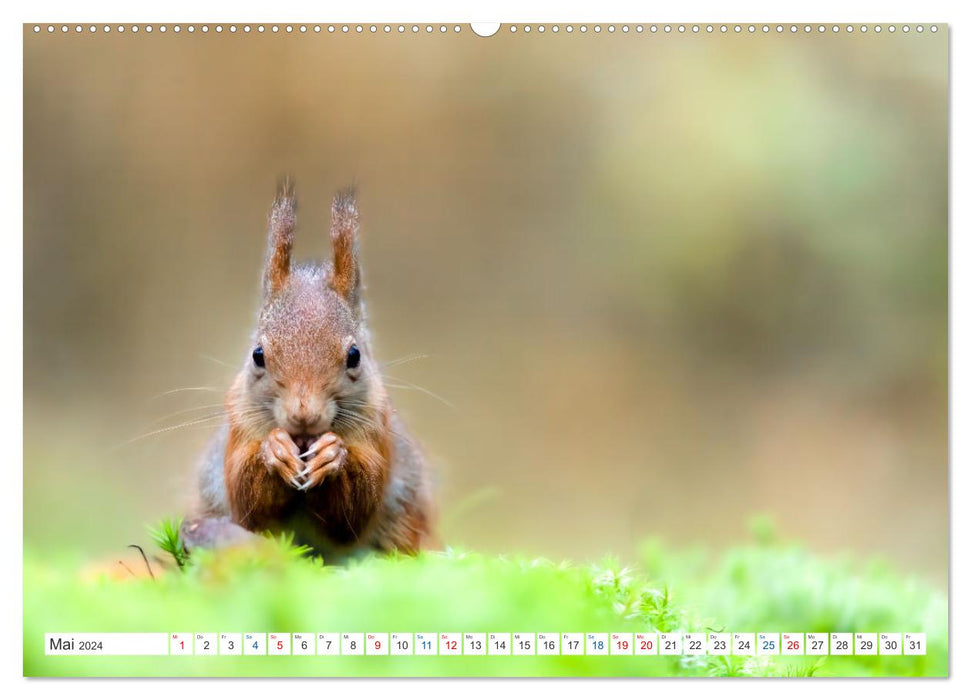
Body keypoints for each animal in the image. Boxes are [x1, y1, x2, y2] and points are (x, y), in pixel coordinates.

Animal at [194, 182, 436, 556]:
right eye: (258, 355)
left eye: (354, 355)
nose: (303, 416)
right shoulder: (240, 425)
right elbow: (246, 500)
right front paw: (275, 450)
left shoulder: (376, 430)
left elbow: (357, 509)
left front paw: (333, 455)